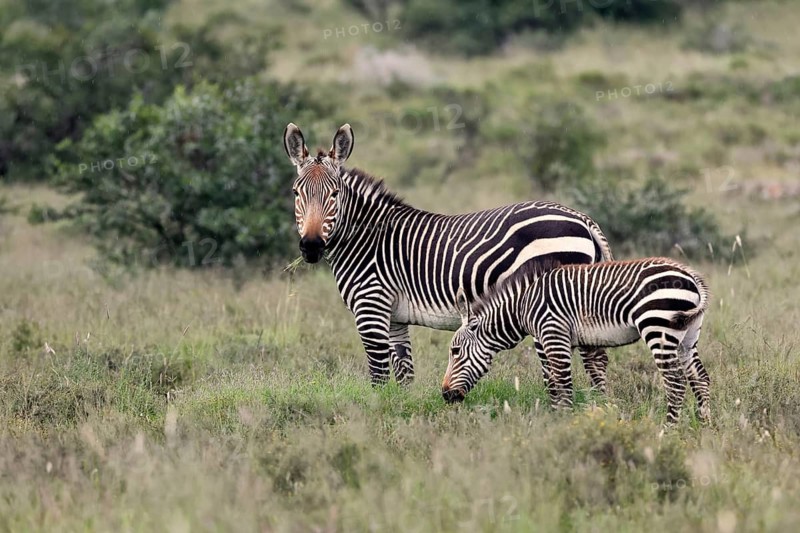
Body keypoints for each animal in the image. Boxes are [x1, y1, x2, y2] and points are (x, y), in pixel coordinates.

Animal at [284, 122, 615, 386]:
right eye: (296, 193)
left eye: (334, 194)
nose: (311, 246)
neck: (367, 237)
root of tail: (583, 218)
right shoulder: (395, 318)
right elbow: (404, 374)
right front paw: (401, 412)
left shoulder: (371, 308)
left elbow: (378, 375)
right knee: (596, 358)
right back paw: (595, 406)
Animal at [442, 258, 711, 425]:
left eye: (455, 351)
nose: (445, 395)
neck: (522, 306)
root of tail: (692, 276)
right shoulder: (552, 341)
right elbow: (553, 383)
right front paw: (557, 420)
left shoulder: (554, 334)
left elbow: (564, 386)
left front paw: (566, 425)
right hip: (687, 336)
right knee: (700, 378)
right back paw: (704, 427)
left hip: (658, 327)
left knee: (675, 383)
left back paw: (667, 432)